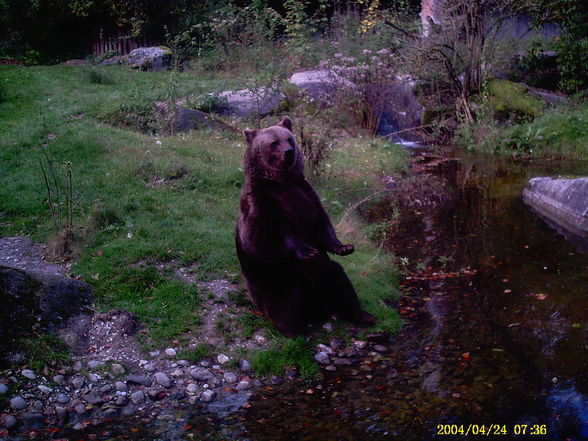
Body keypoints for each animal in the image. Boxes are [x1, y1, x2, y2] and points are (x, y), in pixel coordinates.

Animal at [235, 115, 376, 336]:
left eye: (289, 139)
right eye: (274, 143)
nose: (288, 152)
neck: (281, 183)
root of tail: (318, 311)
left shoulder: (306, 195)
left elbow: (321, 224)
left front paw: (344, 246)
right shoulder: (261, 203)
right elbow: (265, 236)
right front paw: (307, 250)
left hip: (326, 276)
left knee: (341, 282)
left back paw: (363, 315)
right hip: (276, 283)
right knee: (286, 306)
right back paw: (296, 329)